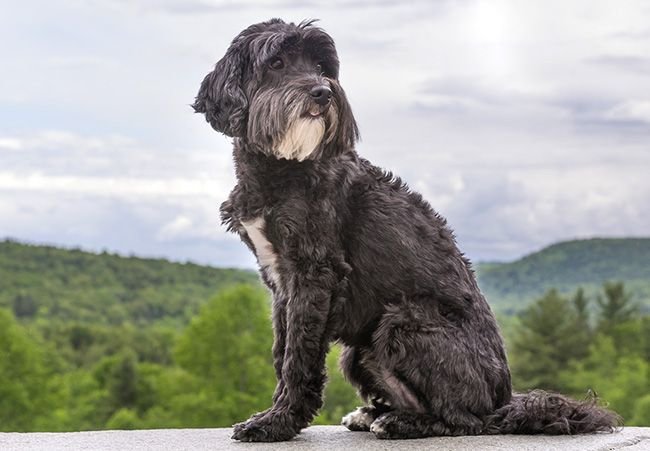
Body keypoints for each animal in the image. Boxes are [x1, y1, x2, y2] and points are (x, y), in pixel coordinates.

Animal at [192, 19, 616, 444]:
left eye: (321, 66)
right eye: (276, 62)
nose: (323, 92)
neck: (284, 166)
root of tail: (503, 399)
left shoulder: (315, 273)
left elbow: (299, 356)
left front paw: (277, 422)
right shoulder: (281, 281)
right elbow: (283, 351)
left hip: (404, 320)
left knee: (466, 419)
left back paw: (401, 422)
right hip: (359, 349)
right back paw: (375, 413)